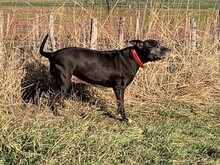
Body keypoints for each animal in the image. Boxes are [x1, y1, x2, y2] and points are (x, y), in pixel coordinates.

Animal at [39, 34, 171, 122]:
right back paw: (57, 113)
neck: (135, 56)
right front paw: (124, 119)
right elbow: (121, 104)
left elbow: (119, 104)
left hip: (62, 82)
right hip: (64, 81)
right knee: (52, 98)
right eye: (156, 46)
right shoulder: (119, 88)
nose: (170, 49)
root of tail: (52, 54)